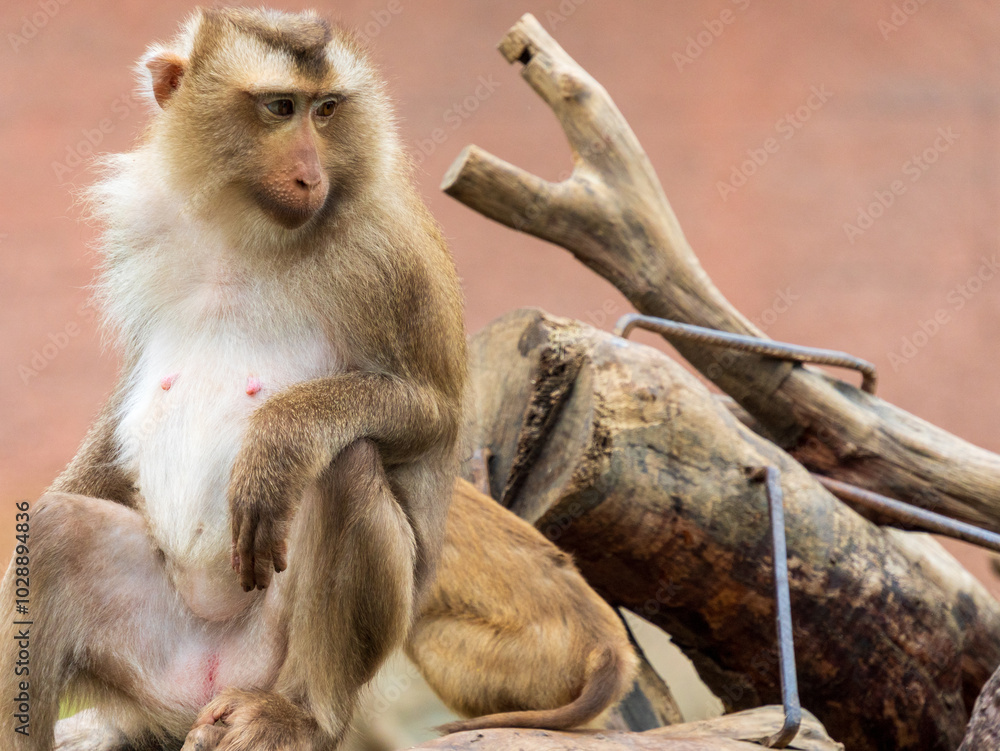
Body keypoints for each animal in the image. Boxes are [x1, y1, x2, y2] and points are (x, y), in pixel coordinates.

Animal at [1, 8, 466, 750]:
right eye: (279, 108)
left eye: (326, 110)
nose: (310, 176)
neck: (243, 228)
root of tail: (203, 688)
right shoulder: (141, 228)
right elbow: (121, 408)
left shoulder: (389, 252)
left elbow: (432, 411)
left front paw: (277, 444)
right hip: (153, 660)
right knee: (54, 531)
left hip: (268, 657)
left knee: (348, 464)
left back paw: (299, 714)